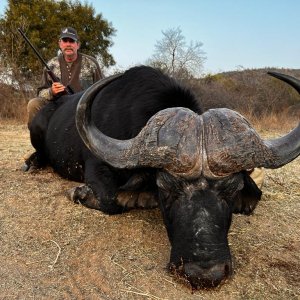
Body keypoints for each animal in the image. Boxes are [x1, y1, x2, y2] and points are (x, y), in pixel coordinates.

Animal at [27, 66, 298, 288]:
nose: (204, 274)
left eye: (232, 188)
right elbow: (112, 200)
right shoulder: (95, 167)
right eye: (166, 187)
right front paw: (80, 192)